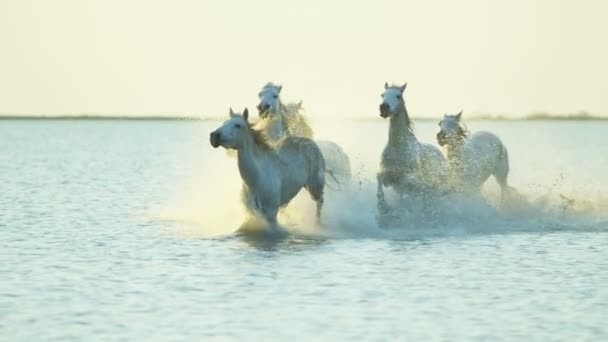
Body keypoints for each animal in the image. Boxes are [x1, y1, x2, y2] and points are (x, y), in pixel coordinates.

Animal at [378, 82, 448, 211]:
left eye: (398, 96)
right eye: (382, 95)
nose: (384, 107)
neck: (399, 147)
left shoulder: (411, 181)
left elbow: (407, 187)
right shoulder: (391, 176)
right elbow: (379, 177)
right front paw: (382, 205)